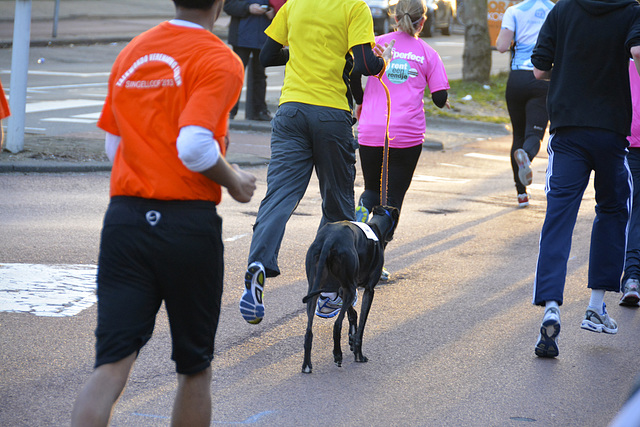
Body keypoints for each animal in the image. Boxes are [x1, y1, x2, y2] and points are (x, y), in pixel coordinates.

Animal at [302, 206, 400, 372]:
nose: (392, 237)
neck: (376, 227)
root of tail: (329, 239)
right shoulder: (368, 290)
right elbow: (361, 325)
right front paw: (359, 354)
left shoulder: (343, 289)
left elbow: (353, 315)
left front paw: (352, 340)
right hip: (349, 288)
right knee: (337, 325)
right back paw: (337, 355)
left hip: (315, 289)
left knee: (309, 330)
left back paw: (307, 365)